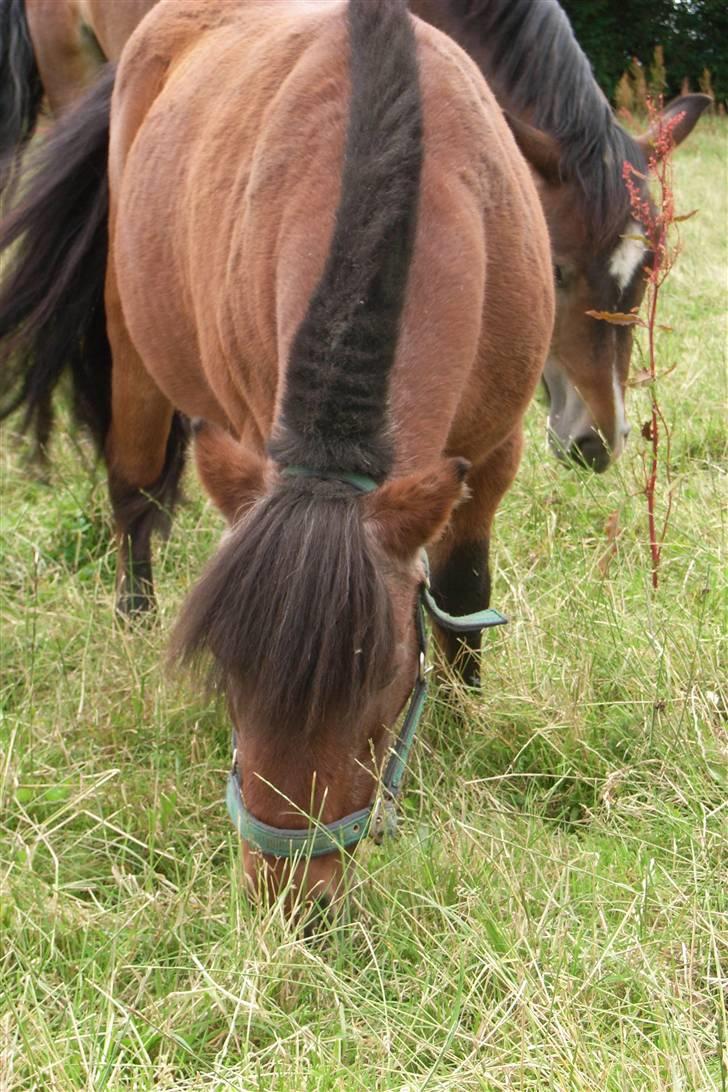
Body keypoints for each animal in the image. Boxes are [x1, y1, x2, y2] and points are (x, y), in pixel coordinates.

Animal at [0, 0, 552, 904]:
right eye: (228, 676)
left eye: (382, 679)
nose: (295, 898)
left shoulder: (494, 452)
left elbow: (465, 599)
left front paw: (466, 722)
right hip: (135, 351)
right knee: (132, 492)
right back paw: (131, 611)